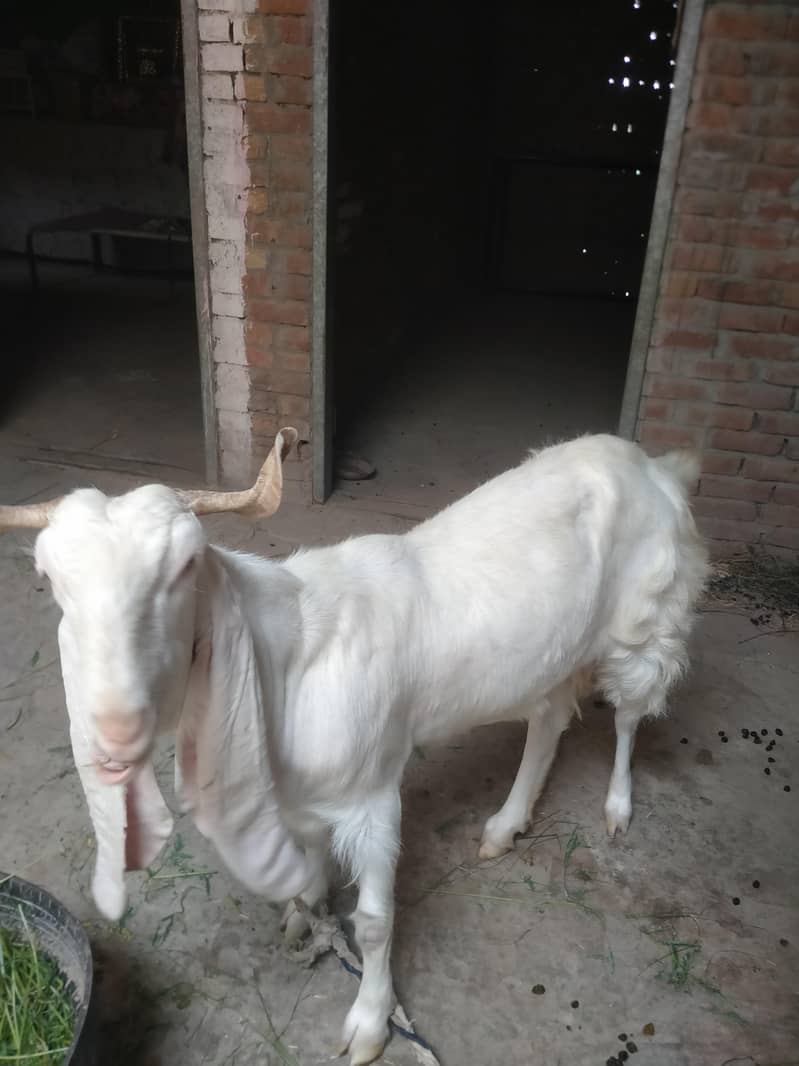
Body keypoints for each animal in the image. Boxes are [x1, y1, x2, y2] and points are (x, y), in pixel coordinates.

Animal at [1, 430, 707, 1065]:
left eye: (183, 567)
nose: (115, 728)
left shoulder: (371, 795)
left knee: (629, 714)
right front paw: (306, 912)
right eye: (49, 578)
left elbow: (373, 922)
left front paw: (369, 1024)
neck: (288, 658)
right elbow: (310, 857)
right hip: (553, 652)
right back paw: (505, 825)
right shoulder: (303, 792)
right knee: (550, 716)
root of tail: (655, 465)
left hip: (646, 621)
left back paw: (616, 807)